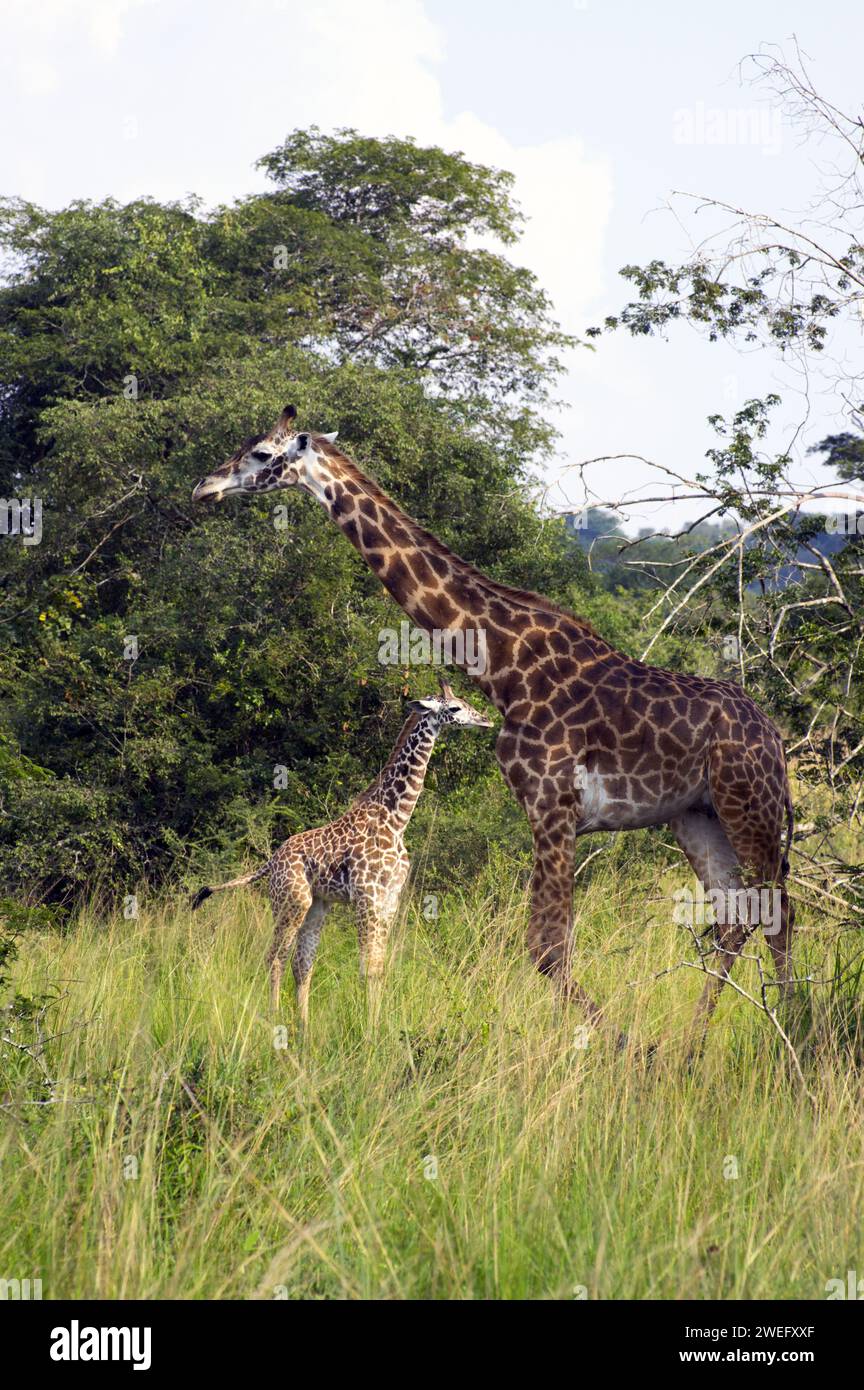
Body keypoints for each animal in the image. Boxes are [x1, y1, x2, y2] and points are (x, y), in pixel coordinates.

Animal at [193, 683, 491, 1034]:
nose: (485, 720)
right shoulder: (366, 896)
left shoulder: (389, 899)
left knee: (302, 964)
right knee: (275, 958)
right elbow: (368, 968)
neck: (396, 819)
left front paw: (378, 1025)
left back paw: (305, 1028)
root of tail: (271, 861)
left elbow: (379, 967)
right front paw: (370, 1032)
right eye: (455, 708)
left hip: (317, 905)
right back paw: (275, 1019)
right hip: (291, 902)